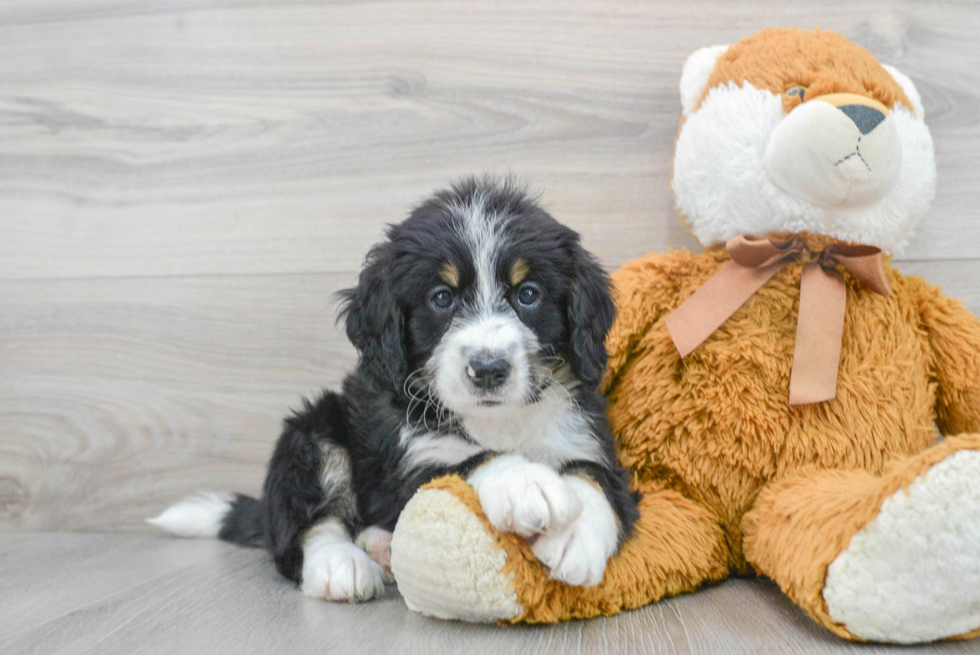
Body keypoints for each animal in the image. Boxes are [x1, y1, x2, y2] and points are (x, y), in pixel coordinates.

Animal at [145, 177, 636, 604]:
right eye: (442, 298)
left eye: (528, 294)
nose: (488, 369)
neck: (499, 419)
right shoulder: (406, 463)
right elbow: (465, 460)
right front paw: (526, 482)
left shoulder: (588, 437)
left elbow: (596, 479)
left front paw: (576, 537)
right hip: (312, 431)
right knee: (303, 529)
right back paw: (343, 564)